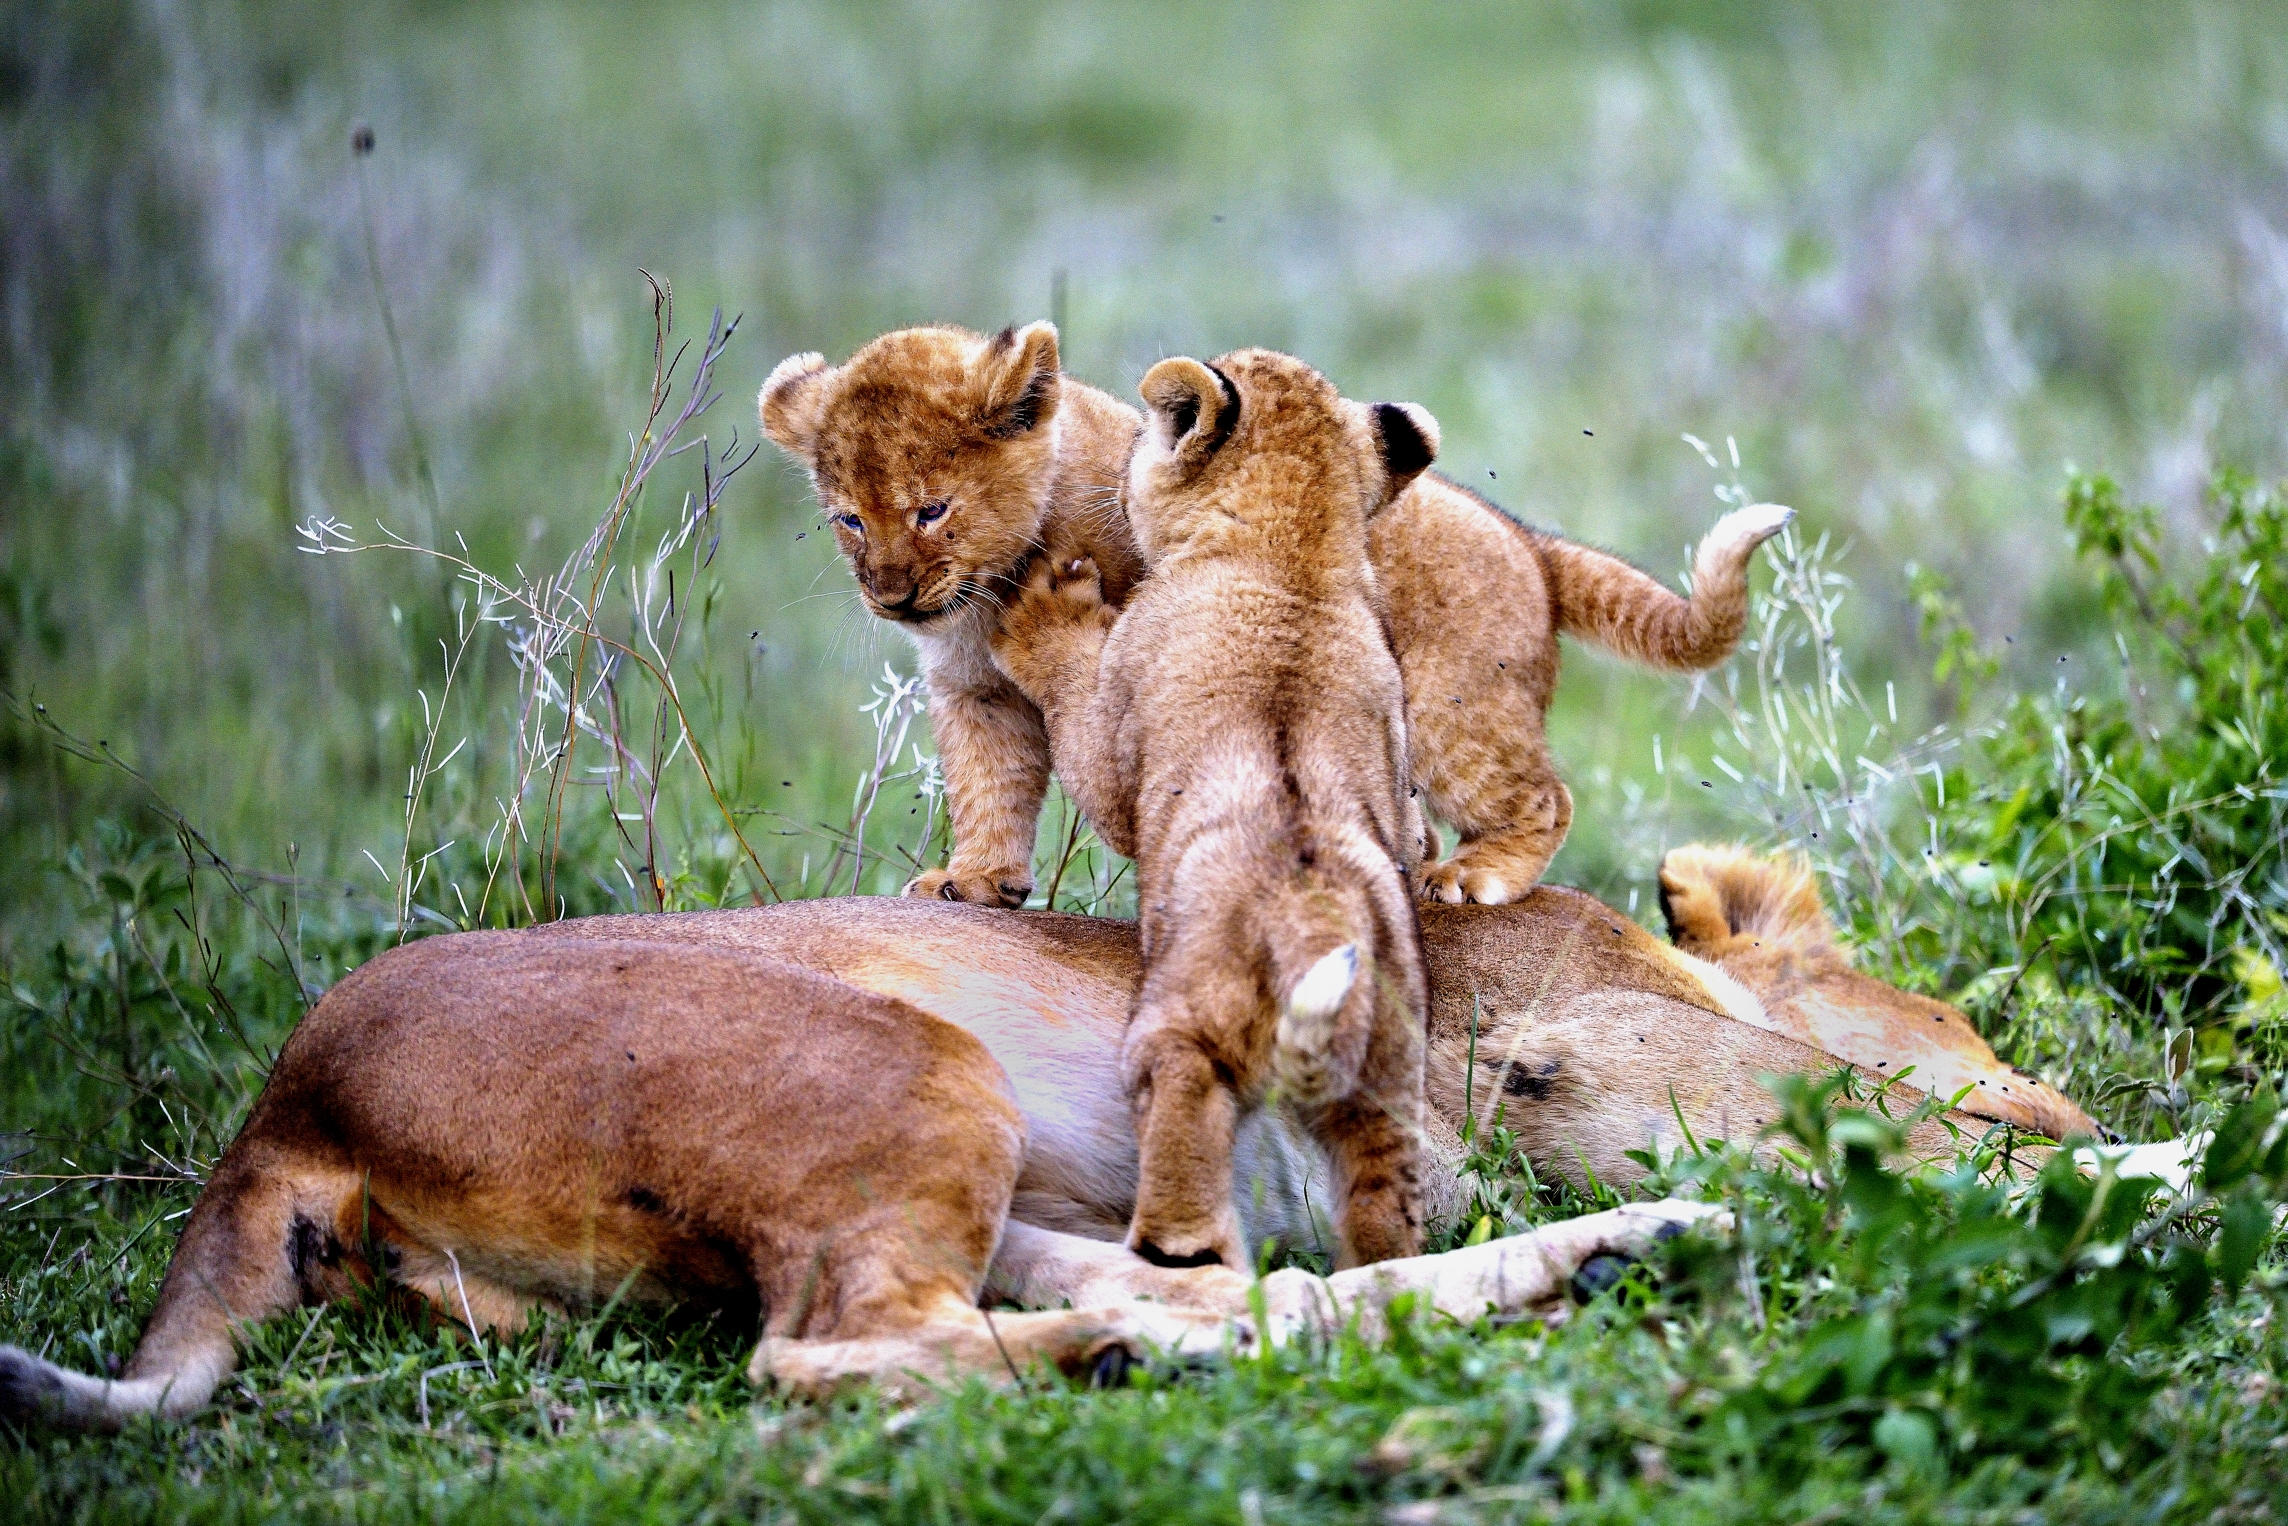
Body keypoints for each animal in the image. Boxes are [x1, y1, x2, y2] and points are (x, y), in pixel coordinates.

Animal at [0, 847, 2113, 1434]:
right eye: (1986, 1040)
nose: (2073, 1086)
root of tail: (283, 1099)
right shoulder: (1583, 1066)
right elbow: (1922, 1153)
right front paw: (2122, 1168)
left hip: (1000, 1161)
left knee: (1246, 1302)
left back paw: (1596, 1263)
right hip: (904, 1060)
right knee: (827, 1350)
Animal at [761, 323, 1793, 908]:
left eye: (931, 509)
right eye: (848, 519)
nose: (891, 597)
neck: (986, 589)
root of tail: (1527, 543)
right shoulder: (974, 692)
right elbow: (988, 784)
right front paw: (974, 878)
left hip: (1453, 709)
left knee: (1541, 797)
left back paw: (1471, 875)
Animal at [986, 349, 1439, 1273]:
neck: (1291, 551)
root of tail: (1314, 920)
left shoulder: (1119, 715)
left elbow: (1081, 718)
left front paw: (1045, 606)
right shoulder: (1397, 736)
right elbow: (1414, 823)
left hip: (1179, 1027)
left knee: (1185, 1134)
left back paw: (1172, 1251)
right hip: (1389, 1074)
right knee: (1385, 1218)